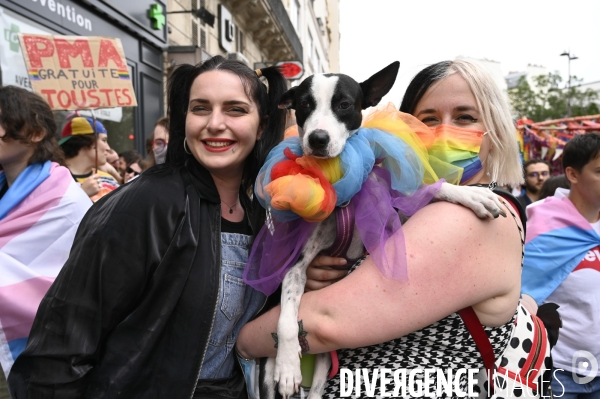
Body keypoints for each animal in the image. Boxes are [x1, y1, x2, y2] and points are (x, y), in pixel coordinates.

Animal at [264, 61, 506, 398]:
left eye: (344, 105)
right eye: (304, 105)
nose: (317, 139)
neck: (345, 193)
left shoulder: (386, 215)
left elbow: (422, 191)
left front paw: (469, 195)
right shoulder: (297, 267)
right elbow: (287, 319)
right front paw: (288, 366)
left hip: (325, 365)